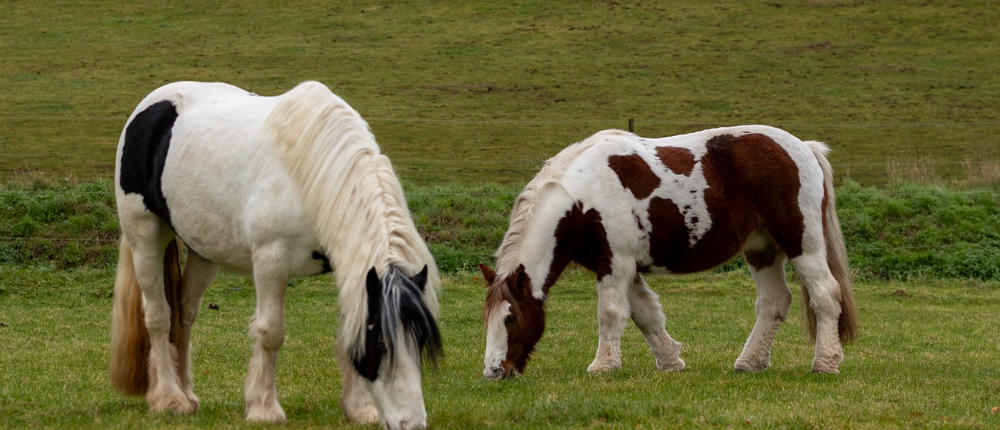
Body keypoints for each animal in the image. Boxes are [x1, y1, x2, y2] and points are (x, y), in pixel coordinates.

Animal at [109, 81, 441, 430]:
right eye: (380, 344)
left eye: (420, 340)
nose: (412, 423)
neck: (310, 170)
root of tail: (148, 107)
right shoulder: (271, 261)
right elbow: (271, 333)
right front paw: (263, 407)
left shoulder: (349, 269)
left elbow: (346, 331)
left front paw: (359, 409)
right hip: (145, 237)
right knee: (158, 315)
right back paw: (169, 398)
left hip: (203, 252)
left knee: (184, 313)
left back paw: (187, 393)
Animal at [480, 126, 857, 380]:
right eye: (488, 319)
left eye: (510, 318)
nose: (494, 371)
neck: (584, 197)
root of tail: (804, 147)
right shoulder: (626, 268)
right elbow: (645, 314)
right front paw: (670, 361)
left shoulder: (614, 265)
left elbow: (611, 314)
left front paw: (603, 366)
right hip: (761, 249)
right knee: (775, 302)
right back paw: (750, 362)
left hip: (801, 244)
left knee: (826, 294)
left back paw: (825, 363)